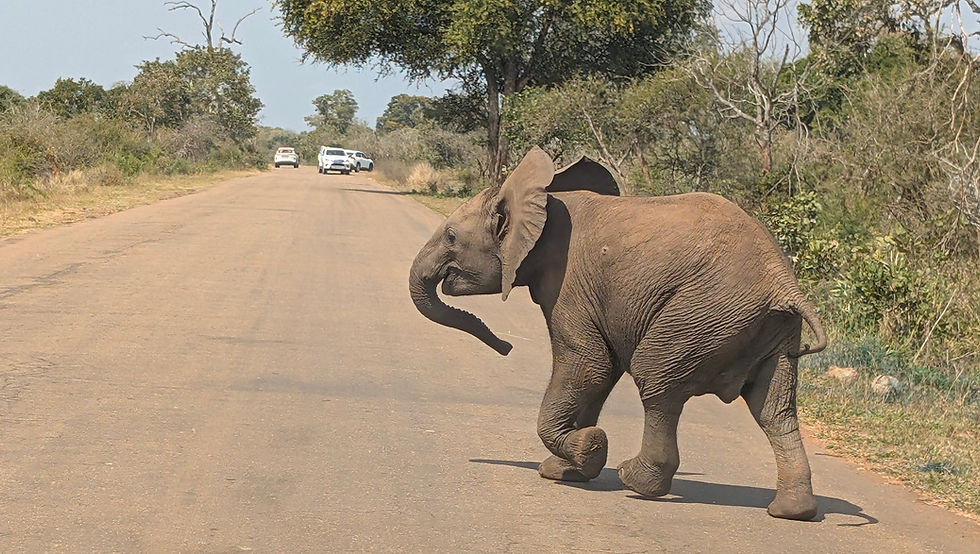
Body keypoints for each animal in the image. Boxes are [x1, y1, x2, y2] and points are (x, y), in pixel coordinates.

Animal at [408, 147, 827, 521]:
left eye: (450, 236)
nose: (506, 346)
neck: (542, 201)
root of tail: (782, 280)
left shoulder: (566, 282)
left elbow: (587, 366)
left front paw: (589, 449)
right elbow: (600, 372)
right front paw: (567, 470)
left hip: (705, 312)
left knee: (657, 381)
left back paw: (637, 480)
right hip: (766, 327)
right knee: (773, 407)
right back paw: (792, 511)